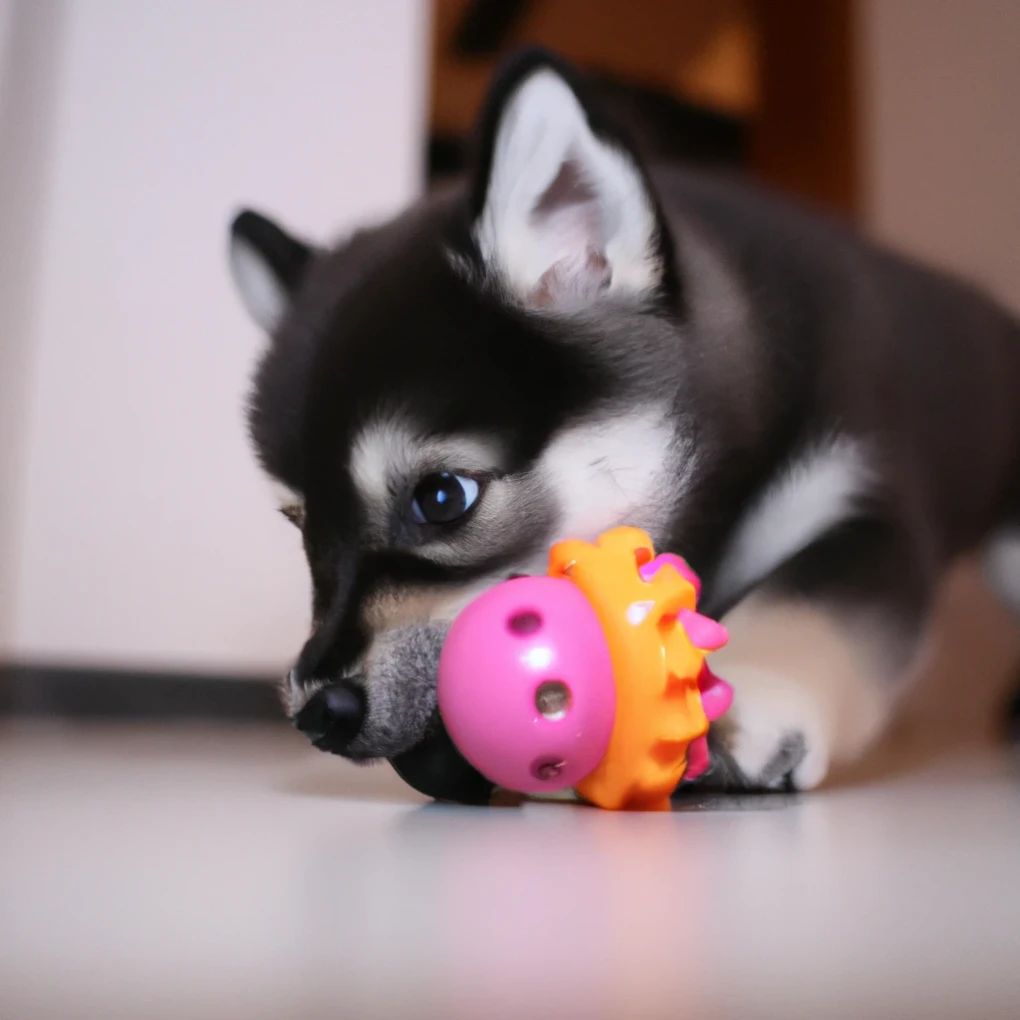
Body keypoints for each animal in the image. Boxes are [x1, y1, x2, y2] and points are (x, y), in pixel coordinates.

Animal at [229, 49, 1020, 803]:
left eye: (443, 497)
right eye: (300, 526)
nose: (317, 711)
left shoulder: (868, 512)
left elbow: (807, 605)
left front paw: (739, 705)